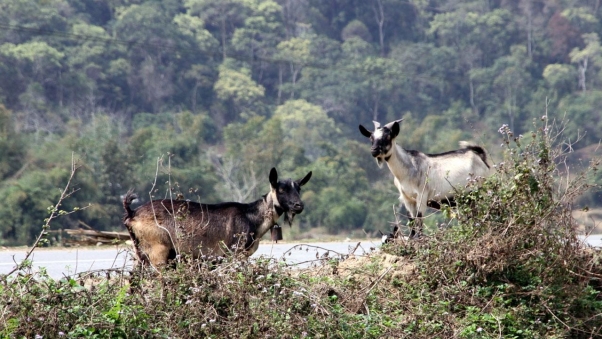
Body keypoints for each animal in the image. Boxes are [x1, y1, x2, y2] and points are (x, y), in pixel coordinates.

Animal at [120, 168, 312, 268]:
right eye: (281, 190)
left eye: (299, 189)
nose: (299, 205)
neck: (251, 217)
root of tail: (132, 213)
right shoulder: (234, 254)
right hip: (157, 251)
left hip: (141, 254)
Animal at [356, 119, 488, 239]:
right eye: (371, 138)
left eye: (388, 137)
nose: (374, 150)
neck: (408, 169)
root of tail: (479, 155)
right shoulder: (407, 199)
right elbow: (411, 222)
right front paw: (411, 239)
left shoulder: (422, 196)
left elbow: (419, 221)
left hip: (479, 193)